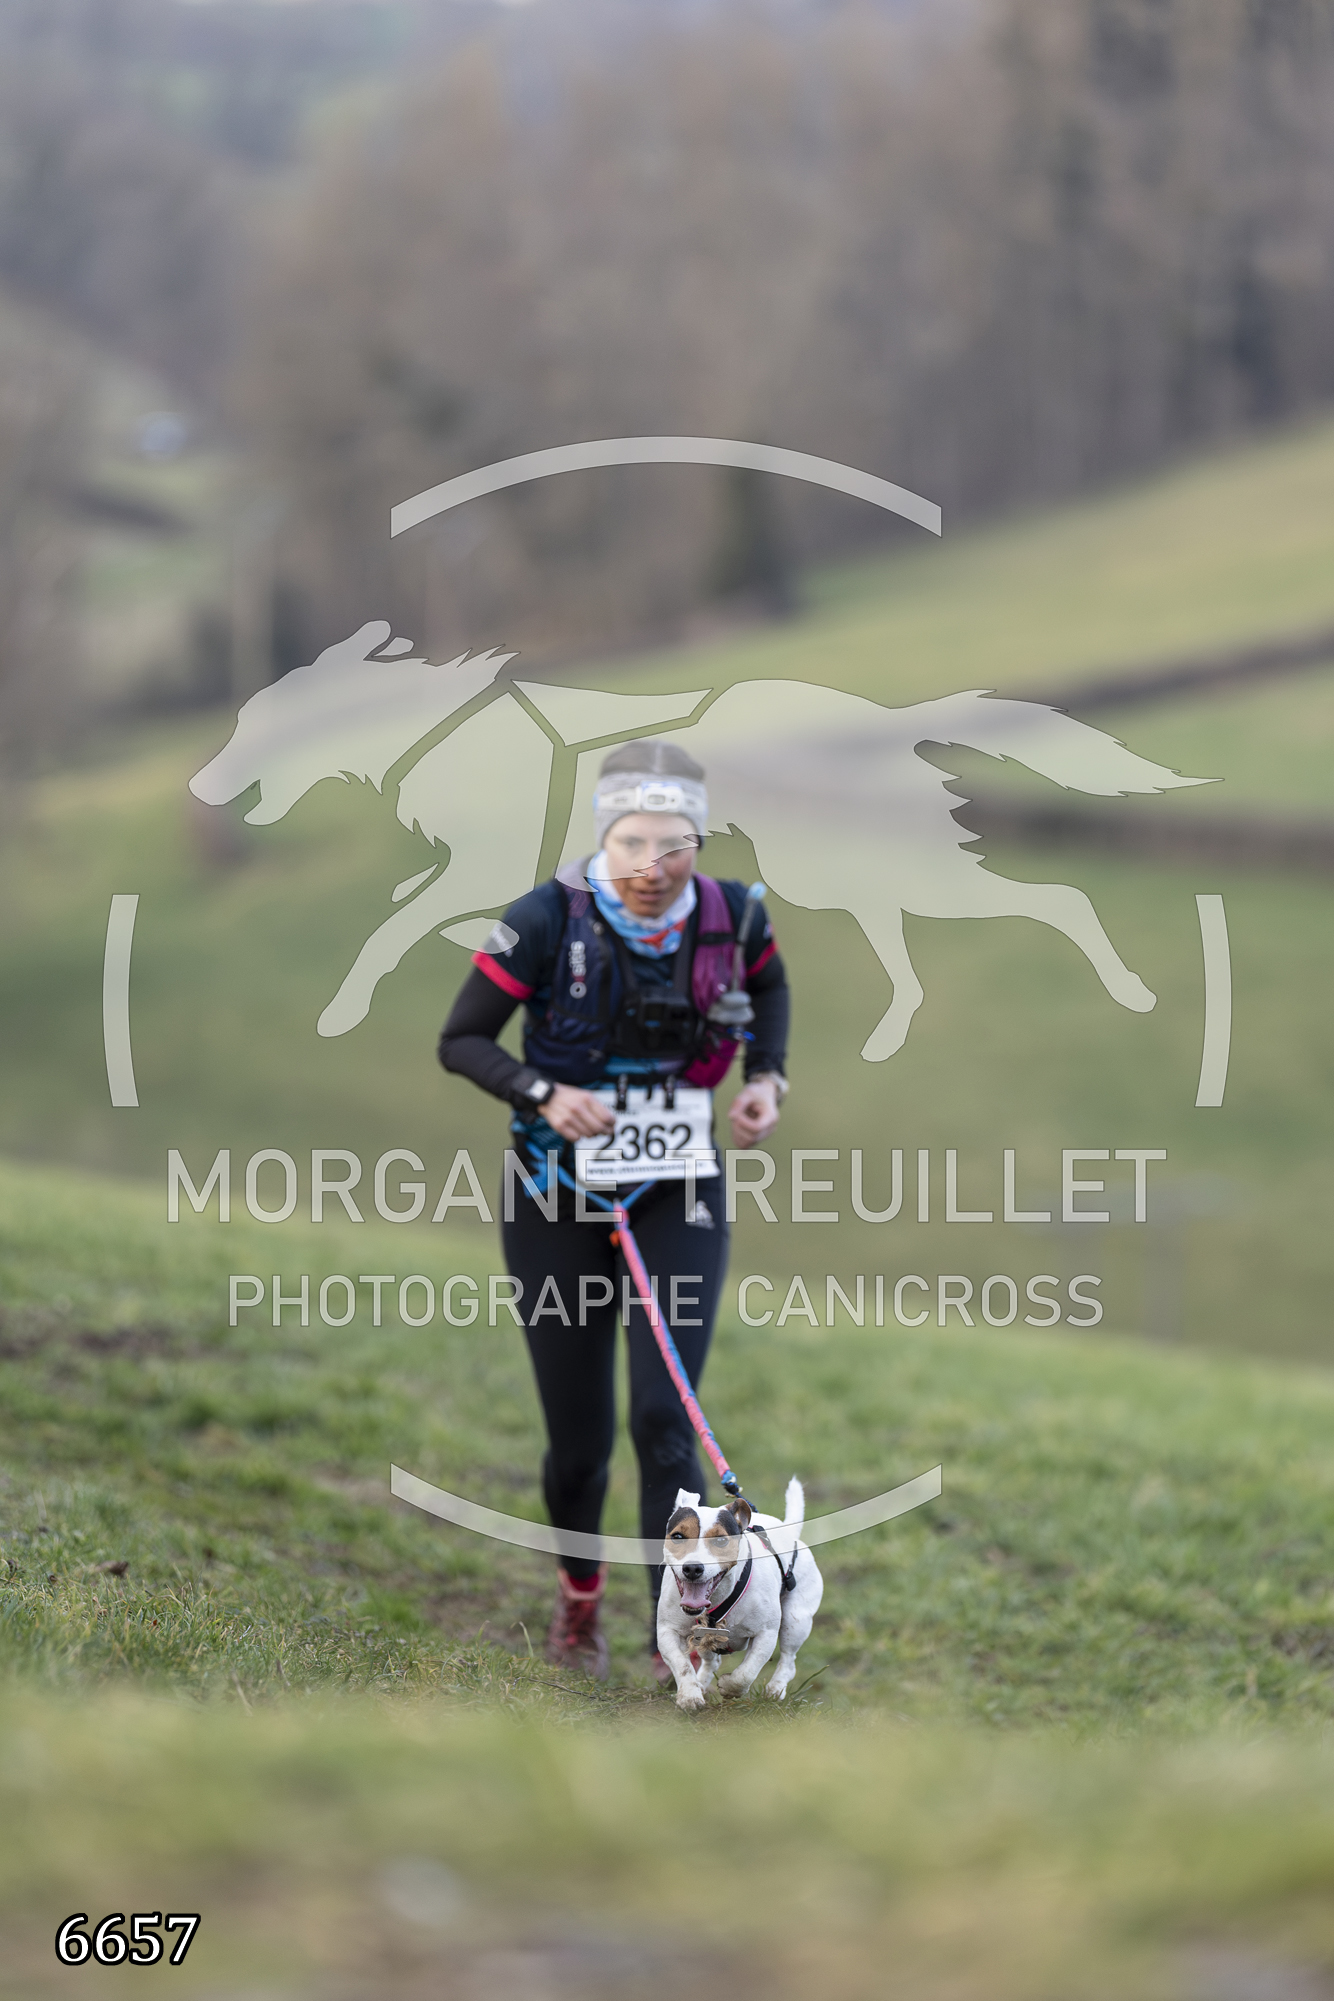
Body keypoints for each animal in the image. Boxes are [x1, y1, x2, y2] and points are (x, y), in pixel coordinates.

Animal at [657, 1478, 824, 1711]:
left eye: (720, 1541)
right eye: (678, 1537)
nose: (692, 1568)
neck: (717, 1599)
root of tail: (789, 1532)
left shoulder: (766, 1634)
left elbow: (747, 1672)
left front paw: (730, 1687)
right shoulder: (667, 1631)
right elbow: (682, 1665)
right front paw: (690, 1695)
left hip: (796, 1620)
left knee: (788, 1660)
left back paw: (775, 1689)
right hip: (704, 1637)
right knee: (711, 1661)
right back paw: (701, 1683)